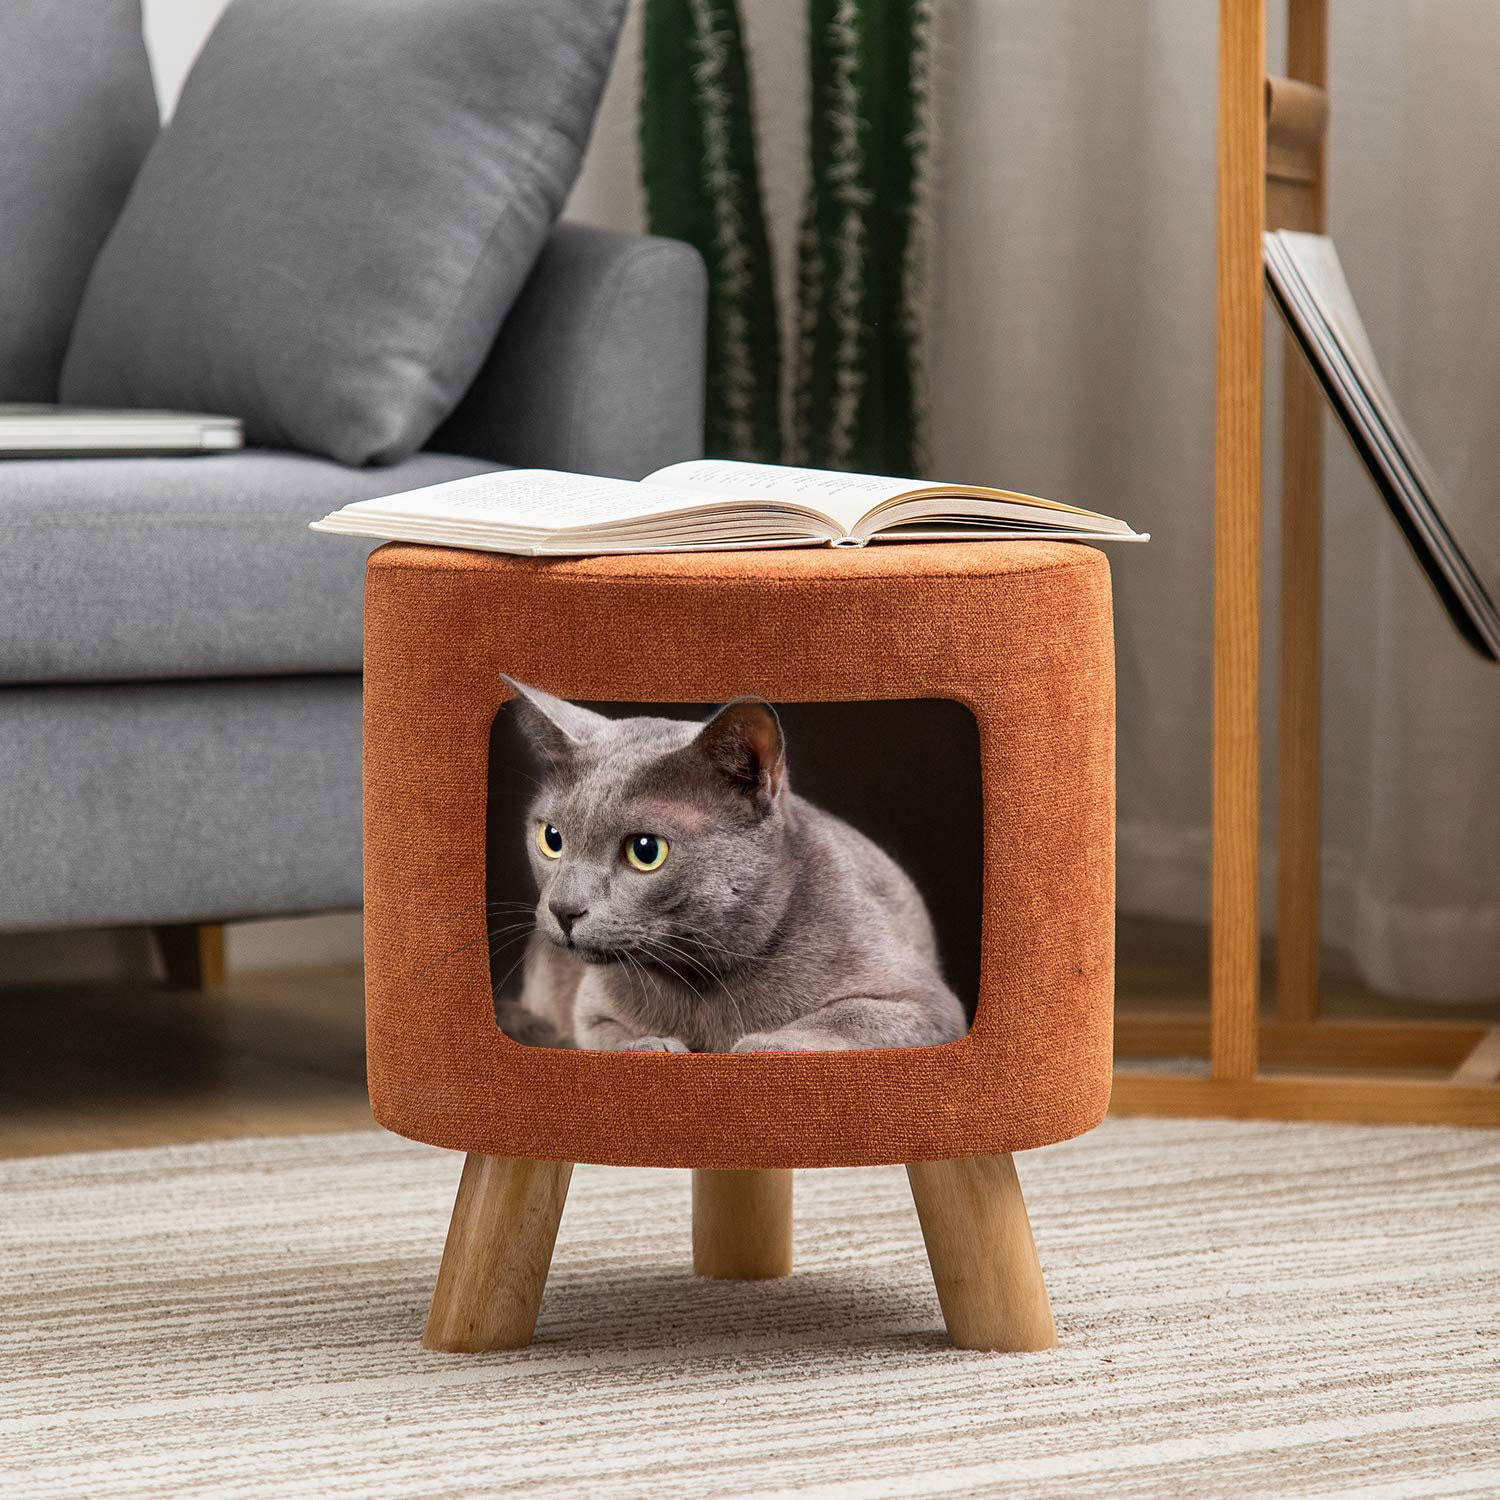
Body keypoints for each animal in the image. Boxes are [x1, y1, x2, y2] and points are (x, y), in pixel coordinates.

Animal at [498, 681, 966, 1056]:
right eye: (552, 838)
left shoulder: (927, 1004)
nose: (563, 909)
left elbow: (845, 1017)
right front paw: (651, 1044)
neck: (703, 979)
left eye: (646, 851)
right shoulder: (590, 1007)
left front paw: (763, 1042)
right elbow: (603, 1034)